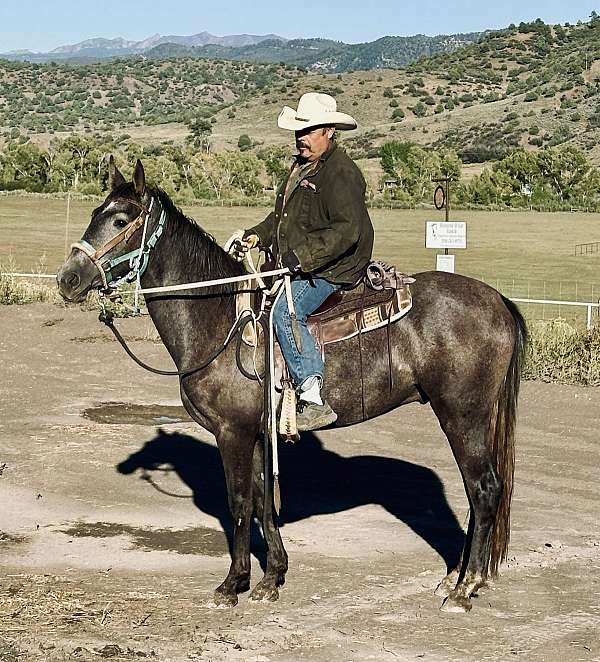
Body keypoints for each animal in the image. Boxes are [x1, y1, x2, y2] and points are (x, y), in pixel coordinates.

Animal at [56, 158, 524, 616]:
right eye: (94, 213)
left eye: (120, 220)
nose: (68, 279)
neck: (219, 321)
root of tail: (498, 301)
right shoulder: (256, 432)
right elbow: (263, 499)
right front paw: (271, 578)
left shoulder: (232, 432)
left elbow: (239, 503)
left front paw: (233, 584)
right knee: (476, 492)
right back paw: (457, 577)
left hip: (462, 415)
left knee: (484, 489)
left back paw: (466, 588)